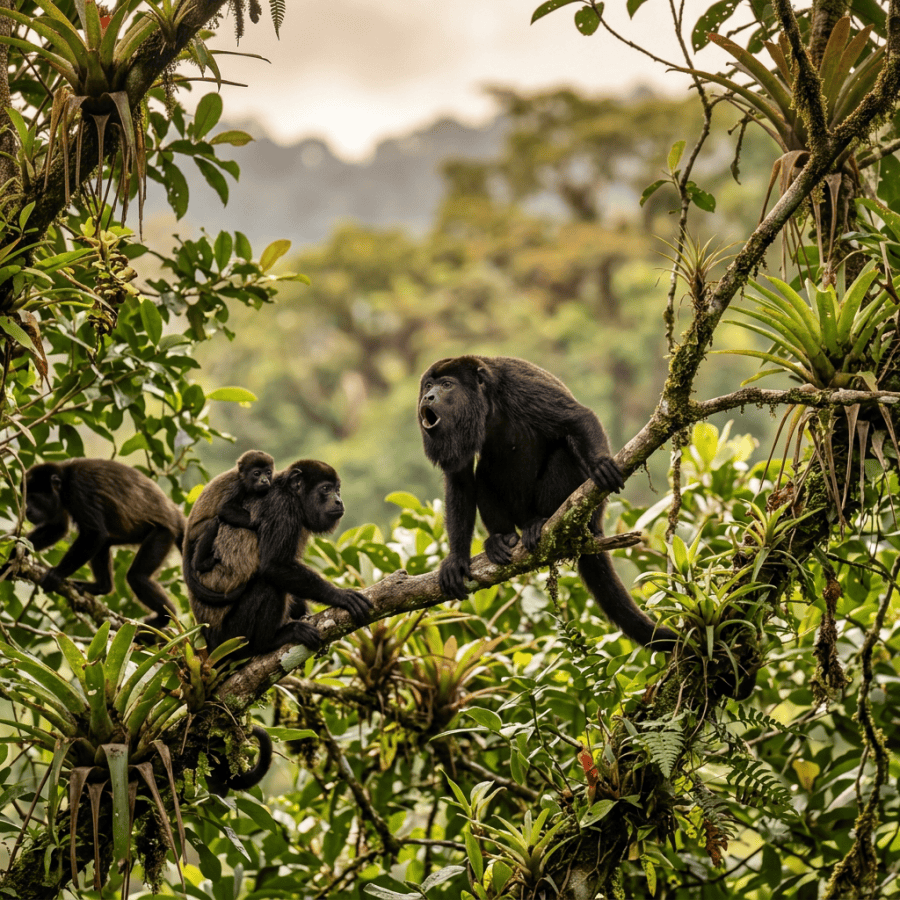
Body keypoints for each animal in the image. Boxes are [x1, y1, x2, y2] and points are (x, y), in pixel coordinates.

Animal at [13, 458, 185, 631]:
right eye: (26, 498)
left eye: (33, 498)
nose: (27, 510)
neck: (64, 480)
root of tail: (176, 513)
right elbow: (57, 528)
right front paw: (13, 555)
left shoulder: (78, 489)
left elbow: (94, 534)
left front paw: (57, 574)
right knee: (105, 544)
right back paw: (101, 587)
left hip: (164, 533)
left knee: (137, 577)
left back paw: (164, 617)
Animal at [184, 459, 372, 659]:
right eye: (326, 488)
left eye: (337, 489)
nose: (338, 500)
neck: (291, 493)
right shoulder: (282, 508)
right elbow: (275, 566)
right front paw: (339, 596)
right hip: (230, 639)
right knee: (268, 584)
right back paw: (267, 643)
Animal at [418, 355, 677, 651]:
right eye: (428, 385)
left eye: (447, 385)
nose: (427, 397)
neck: (487, 404)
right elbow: (459, 477)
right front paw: (456, 559)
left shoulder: (521, 386)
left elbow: (578, 418)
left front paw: (600, 463)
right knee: (482, 474)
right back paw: (502, 539)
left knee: (562, 454)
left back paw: (542, 523)